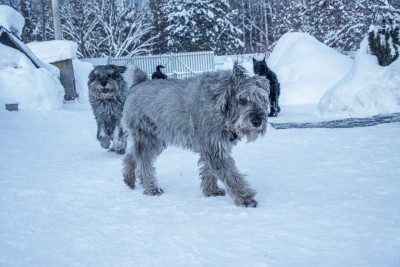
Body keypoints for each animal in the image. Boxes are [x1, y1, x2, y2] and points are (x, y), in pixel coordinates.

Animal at [123, 63, 270, 207]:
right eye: (241, 100)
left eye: (261, 99)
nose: (257, 121)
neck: (218, 101)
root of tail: (138, 83)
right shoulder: (214, 148)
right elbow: (231, 175)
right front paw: (245, 198)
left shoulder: (214, 147)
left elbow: (208, 170)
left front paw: (211, 191)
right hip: (147, 138)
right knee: (143, 163)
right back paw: (151, 188)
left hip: (155, 139)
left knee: (131, 155)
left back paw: (129, 178)